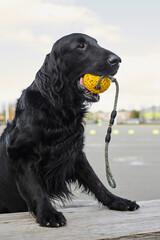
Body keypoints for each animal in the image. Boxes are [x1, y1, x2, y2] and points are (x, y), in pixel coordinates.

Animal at [0, 33, 139, 227]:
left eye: (97, 43)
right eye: (81, 46)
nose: (117, 60)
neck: (58, 107)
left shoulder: (74, 152)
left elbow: (96, 181)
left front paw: (117, 201)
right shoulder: (20, 153)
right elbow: (36, 188)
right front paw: (48, 214)